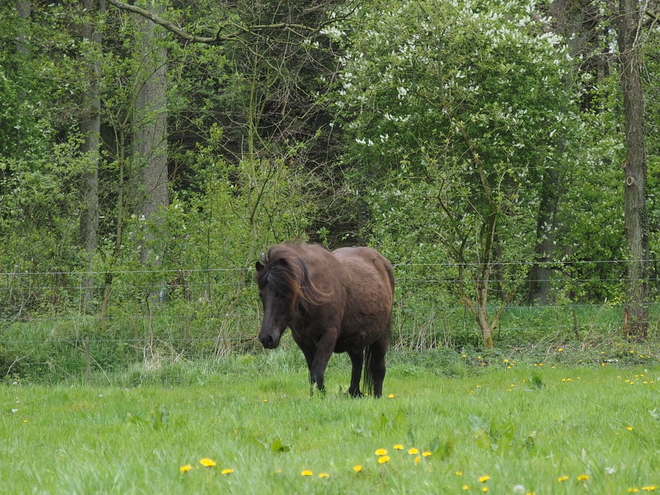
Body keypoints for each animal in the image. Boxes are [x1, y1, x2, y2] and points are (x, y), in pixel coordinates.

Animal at [255, 244, 394, 400]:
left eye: (283, 294)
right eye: (261, 295)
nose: (266, 338)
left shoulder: (328, 336)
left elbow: (317, 373)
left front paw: (319, 399)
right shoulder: (302, 341)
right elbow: (313, 373)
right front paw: (316, 397)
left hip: (381, 336)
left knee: (378, 368)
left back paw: (377, 396)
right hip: (354, 340)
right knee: (357, 363)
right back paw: (354, 393)